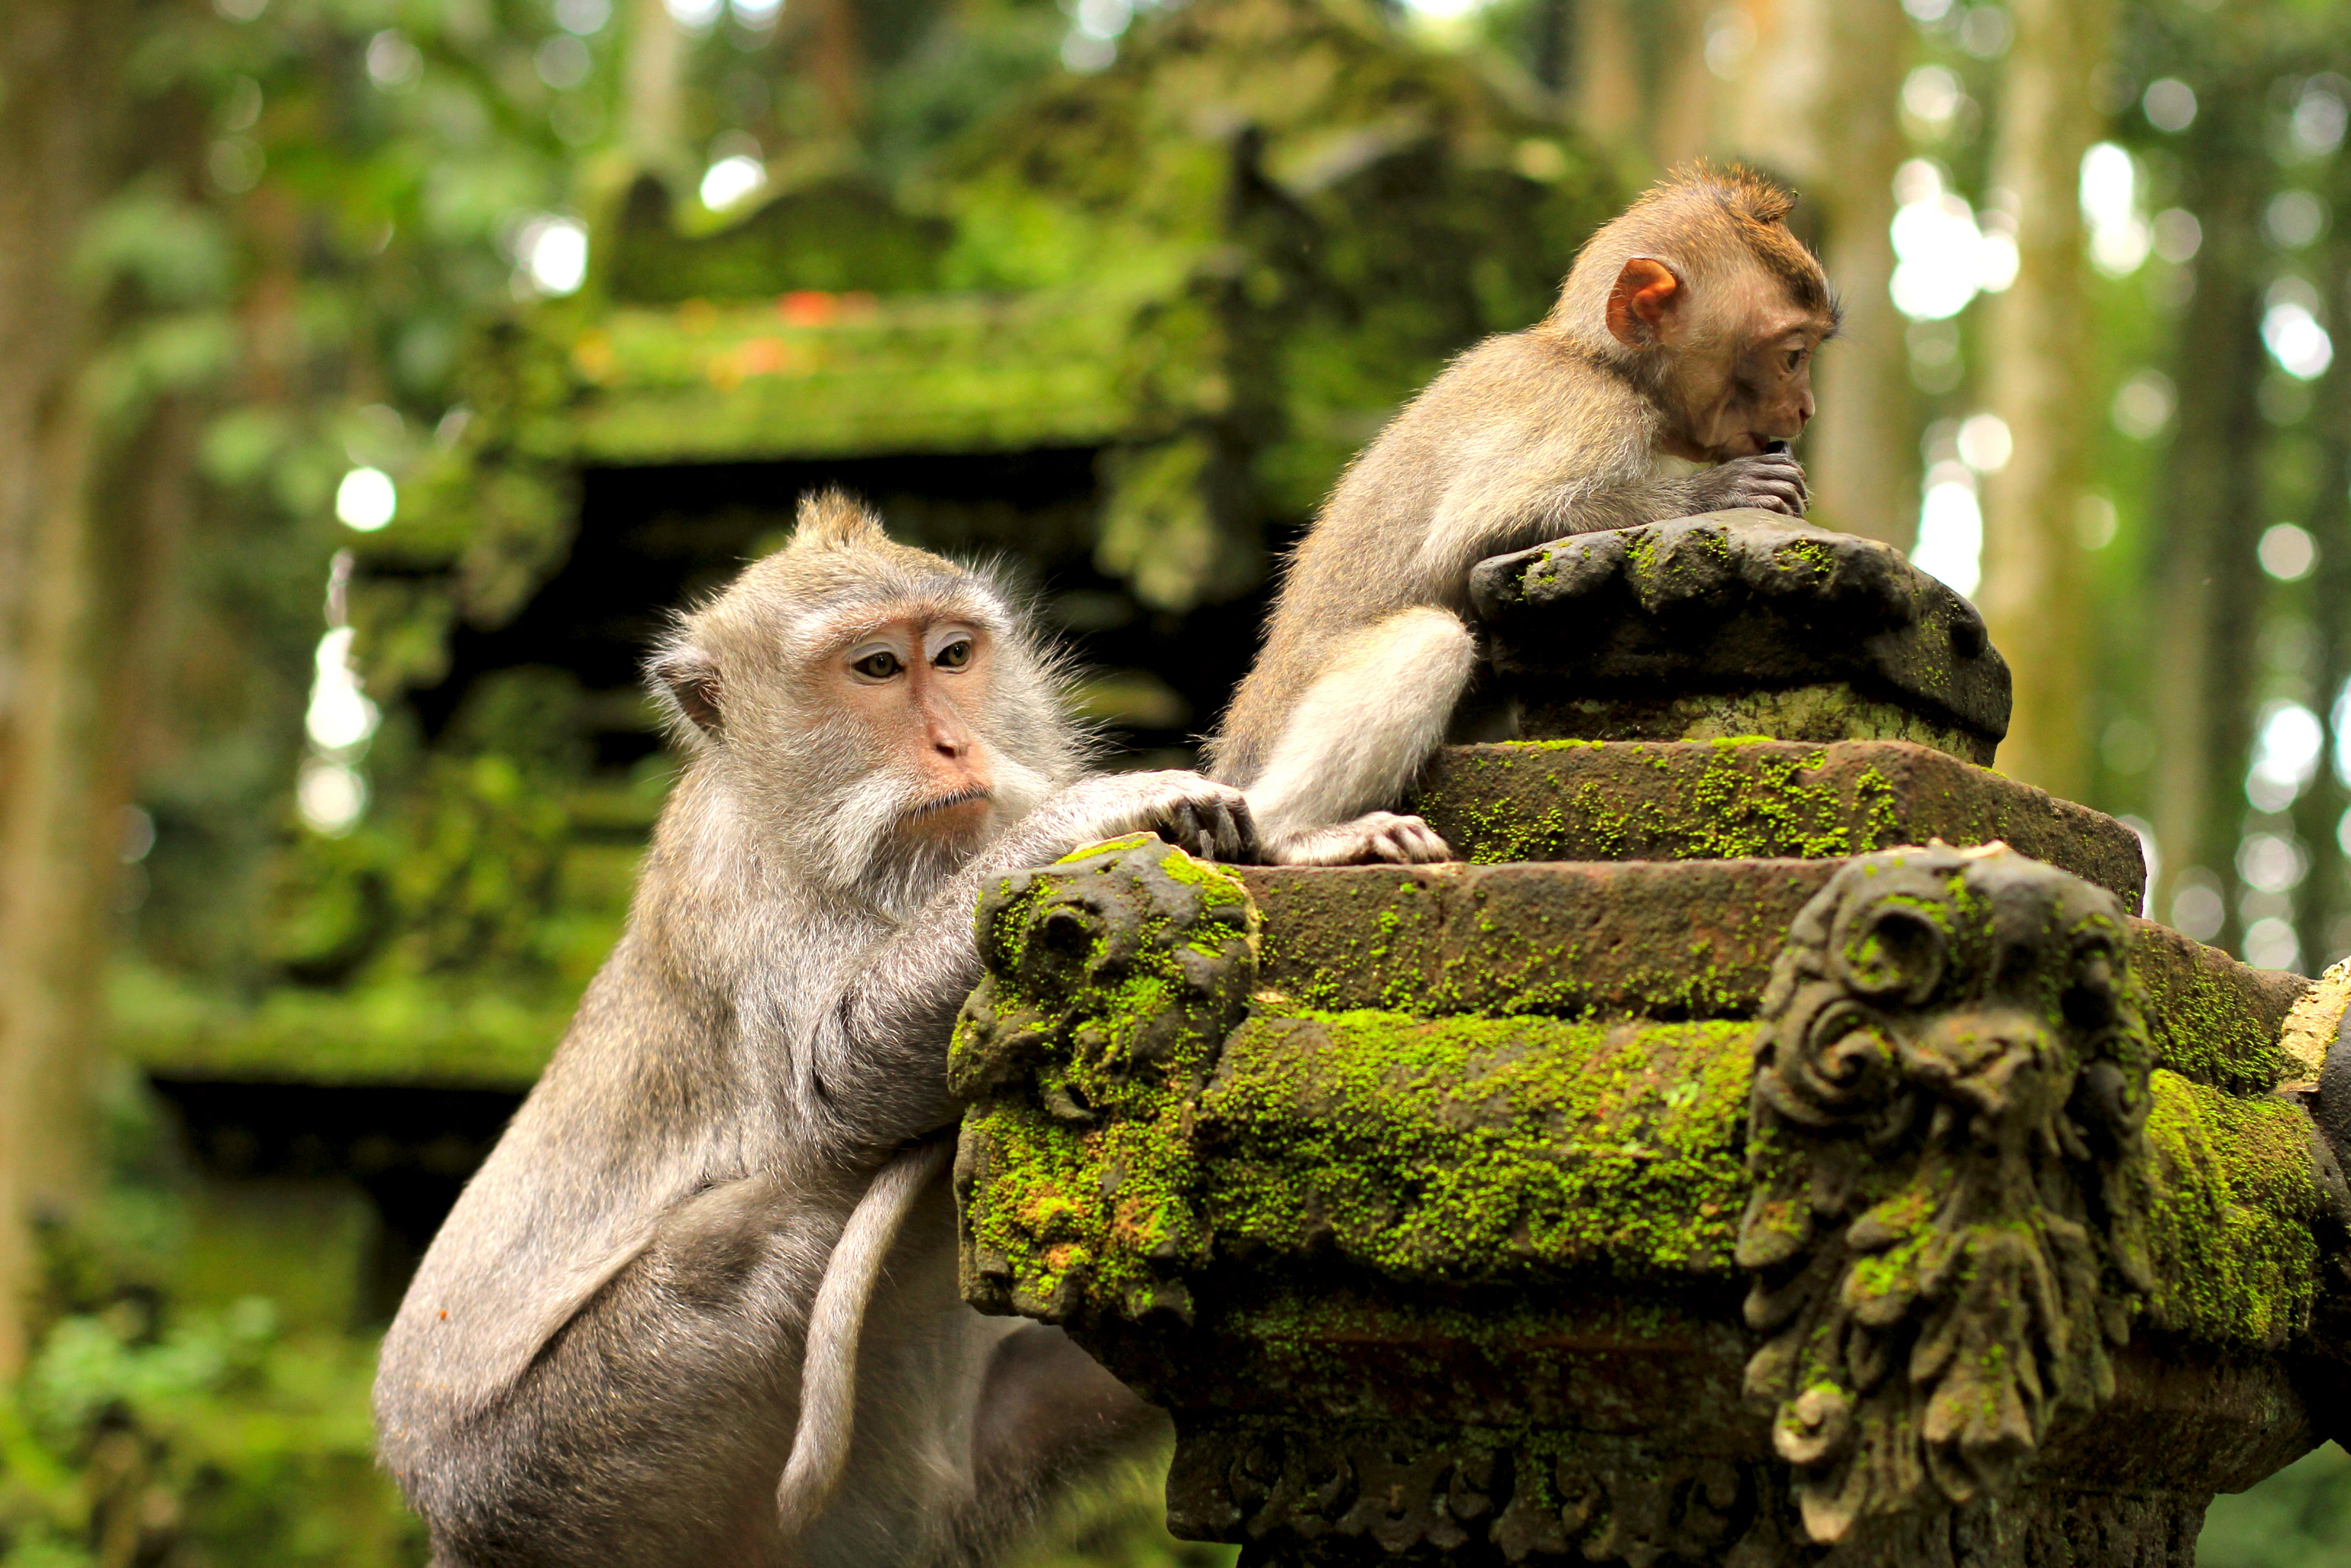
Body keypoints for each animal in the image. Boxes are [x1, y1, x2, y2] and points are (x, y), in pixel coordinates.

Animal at [374, 491, 1253, 1568]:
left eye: (951, 656)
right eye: (876, 669)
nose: (953, 746)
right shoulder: (736, 886)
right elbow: (834, 1080)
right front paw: (1094, 813)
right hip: (560, 1464)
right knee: (756, 1227)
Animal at [1204, 166, 1837, 866]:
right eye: (1791, 355)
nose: (1804, 409)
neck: (1602, 363)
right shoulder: (1591, 412)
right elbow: (1474, 535)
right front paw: (1719, 491)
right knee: (1430, 639)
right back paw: (1294, 833)